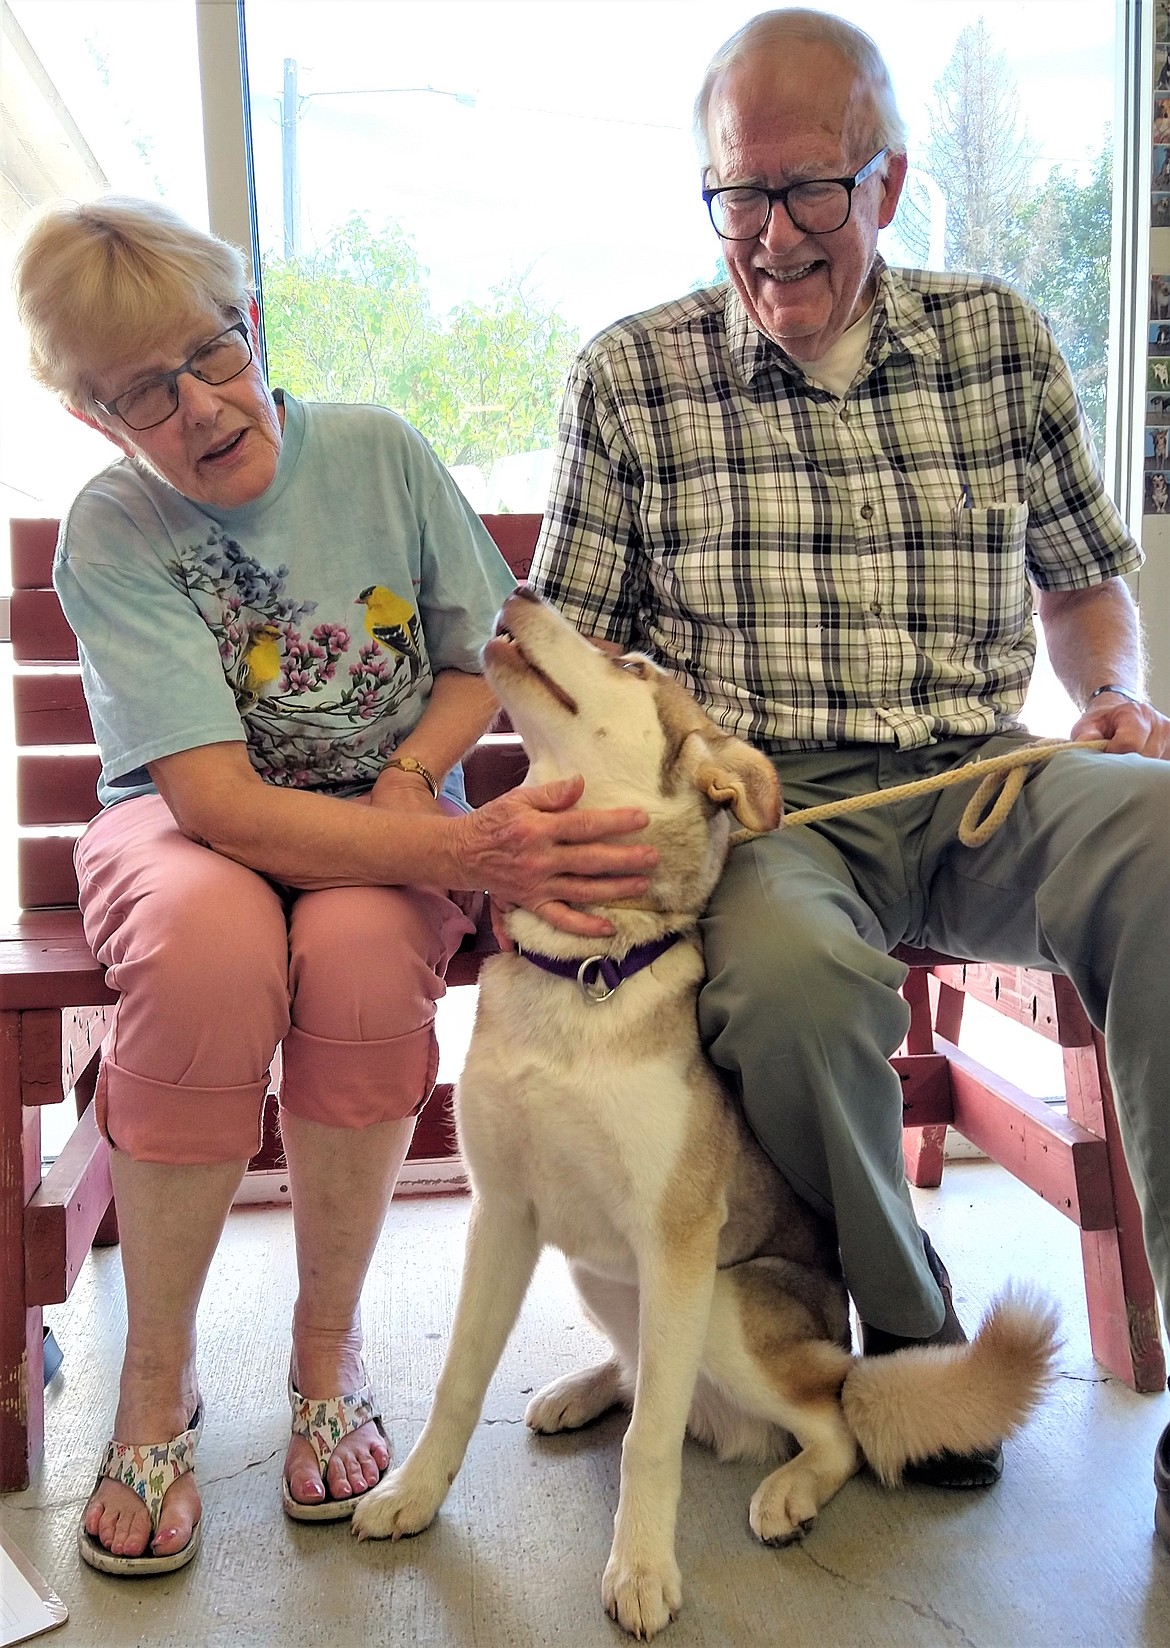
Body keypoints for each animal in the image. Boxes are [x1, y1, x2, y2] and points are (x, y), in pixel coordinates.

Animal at [352, 589, 1061, 1634]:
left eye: (635, 662)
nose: (521, 592)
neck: (587, 974)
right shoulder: (504, 1218)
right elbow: (458, 1381)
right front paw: (413, 1492)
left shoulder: (678, 1241)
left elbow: (648, 1444)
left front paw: (642, 1569)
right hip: (607, 1277)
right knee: (648, 1373)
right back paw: (582, 1391)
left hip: (722, 1304)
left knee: (827, 1425)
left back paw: (789, 1489)